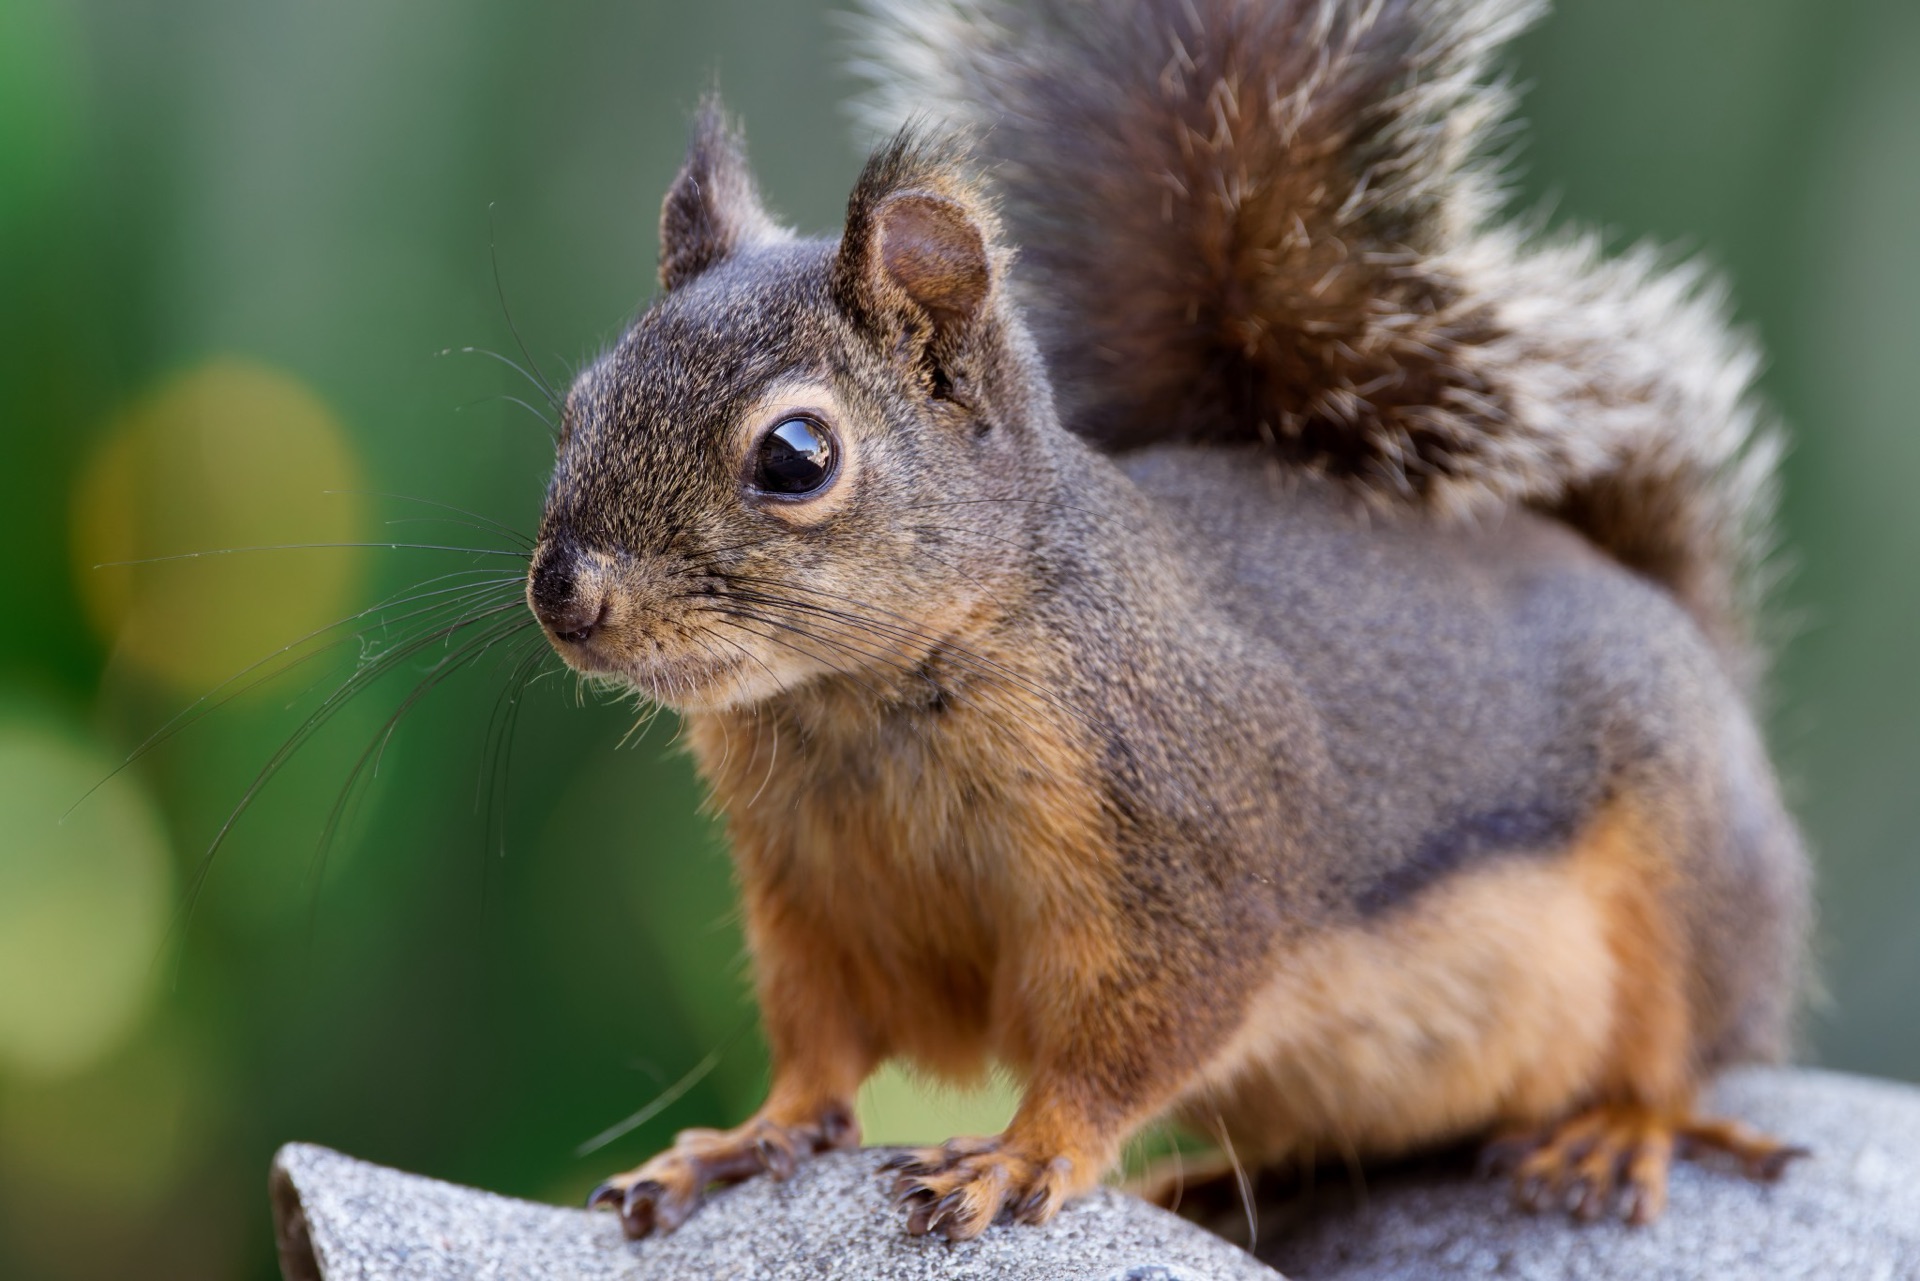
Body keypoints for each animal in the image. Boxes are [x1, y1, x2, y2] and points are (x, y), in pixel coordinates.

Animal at [526, 0, 1811, 1243]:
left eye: (796, 457)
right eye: (578, 408)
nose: (565, 597)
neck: (859, 705)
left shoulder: (1193, 863)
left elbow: (1127, 1045)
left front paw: (1016, 1156)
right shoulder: (816, 907)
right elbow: (818, 1054)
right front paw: (740, 1143)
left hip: (1684, 883)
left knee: (1678, 1050)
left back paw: (1623, 1130)